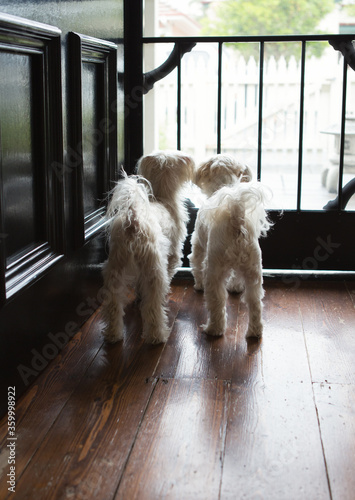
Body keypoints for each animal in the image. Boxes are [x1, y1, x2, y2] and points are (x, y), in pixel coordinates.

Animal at [101, 148, 196, 344]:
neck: (163, 198)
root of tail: (134, 219)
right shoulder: (172, 254)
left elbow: (139, 284)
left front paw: (138, 296)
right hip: (154, 267)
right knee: (153, 306)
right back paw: (157, 336)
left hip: (115, 266)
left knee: (113, 302)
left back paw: (113, 334)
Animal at [191, 154, 272, 338]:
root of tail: (236, 219)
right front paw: (235, 287)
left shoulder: (199, 243)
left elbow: (196, 264)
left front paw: (198, 285)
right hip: (254, 270)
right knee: (255, 302)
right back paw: (255, 332)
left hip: (214, 269)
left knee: (217, 301)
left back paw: (213, 329)